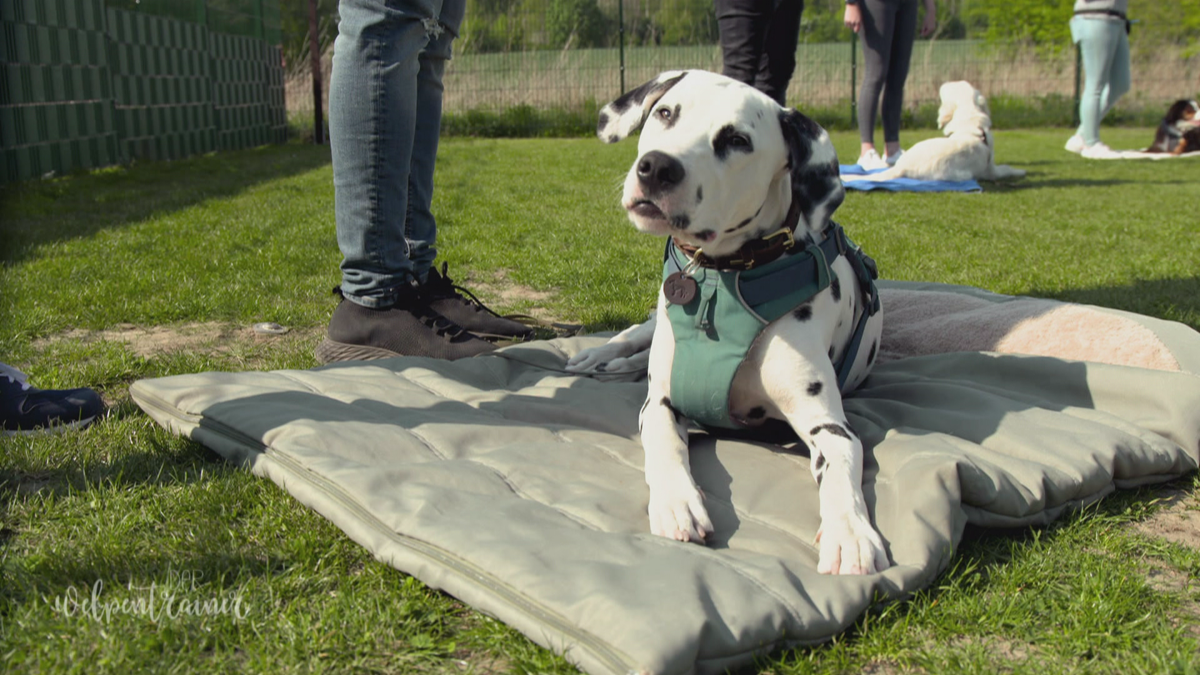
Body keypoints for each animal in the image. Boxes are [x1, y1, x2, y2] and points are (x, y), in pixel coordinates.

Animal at [564, 69, 892, 571]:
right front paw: (677, 502)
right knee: (639, 332)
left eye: (737, 140)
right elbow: (663, 443)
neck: (726, 278)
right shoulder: (661, 403)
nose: (656, 168)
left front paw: (851, 533)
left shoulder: (829, 426)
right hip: (655, 327)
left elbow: (841, 464)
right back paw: (605, 355)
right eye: (665, 113)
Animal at [854, 79, 1022, 182]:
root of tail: (902, 167)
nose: (945, 84)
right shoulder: (991, 169)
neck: (969, 118)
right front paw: (1019, 171)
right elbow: (1005, 169)